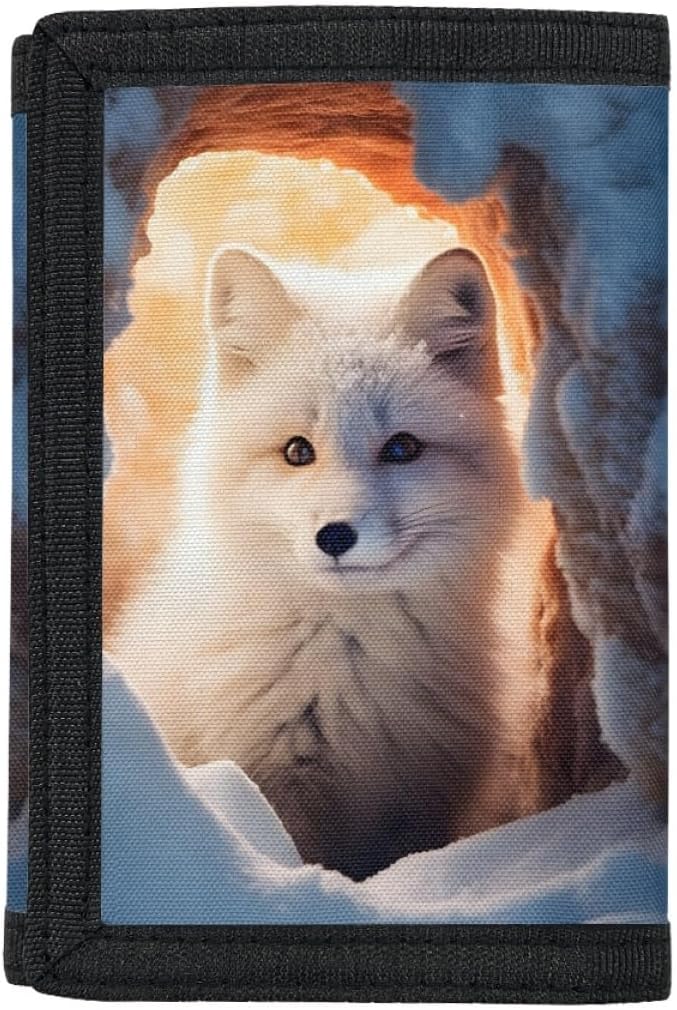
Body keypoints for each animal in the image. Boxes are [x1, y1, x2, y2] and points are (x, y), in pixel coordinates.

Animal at [107, 244, 550, 880]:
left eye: (401, 448)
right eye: (298, 451)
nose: (335, 536)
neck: (353, 668)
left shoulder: (429, 798)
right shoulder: (275, 782)